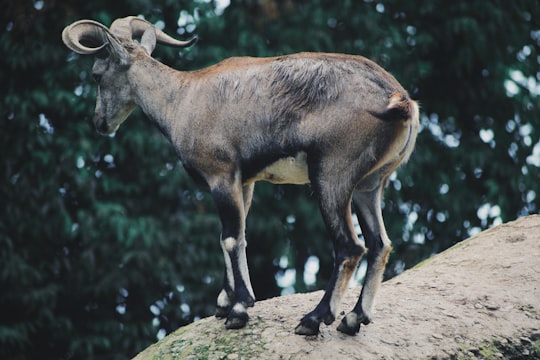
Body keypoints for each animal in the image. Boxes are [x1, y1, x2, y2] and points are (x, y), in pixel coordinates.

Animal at [61, 16, 420, 338]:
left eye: (96, 74)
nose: (100, 123)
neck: (182, 98)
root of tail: (398, 99)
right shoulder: (243, 183)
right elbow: (238, 234)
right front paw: (224, 302)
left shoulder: (221, 176)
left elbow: (230, 237)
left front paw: (239, 309)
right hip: (369, 186)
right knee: (380, 244)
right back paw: (354, 319)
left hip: (332, 176)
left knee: (350, 246)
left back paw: (314, 319)